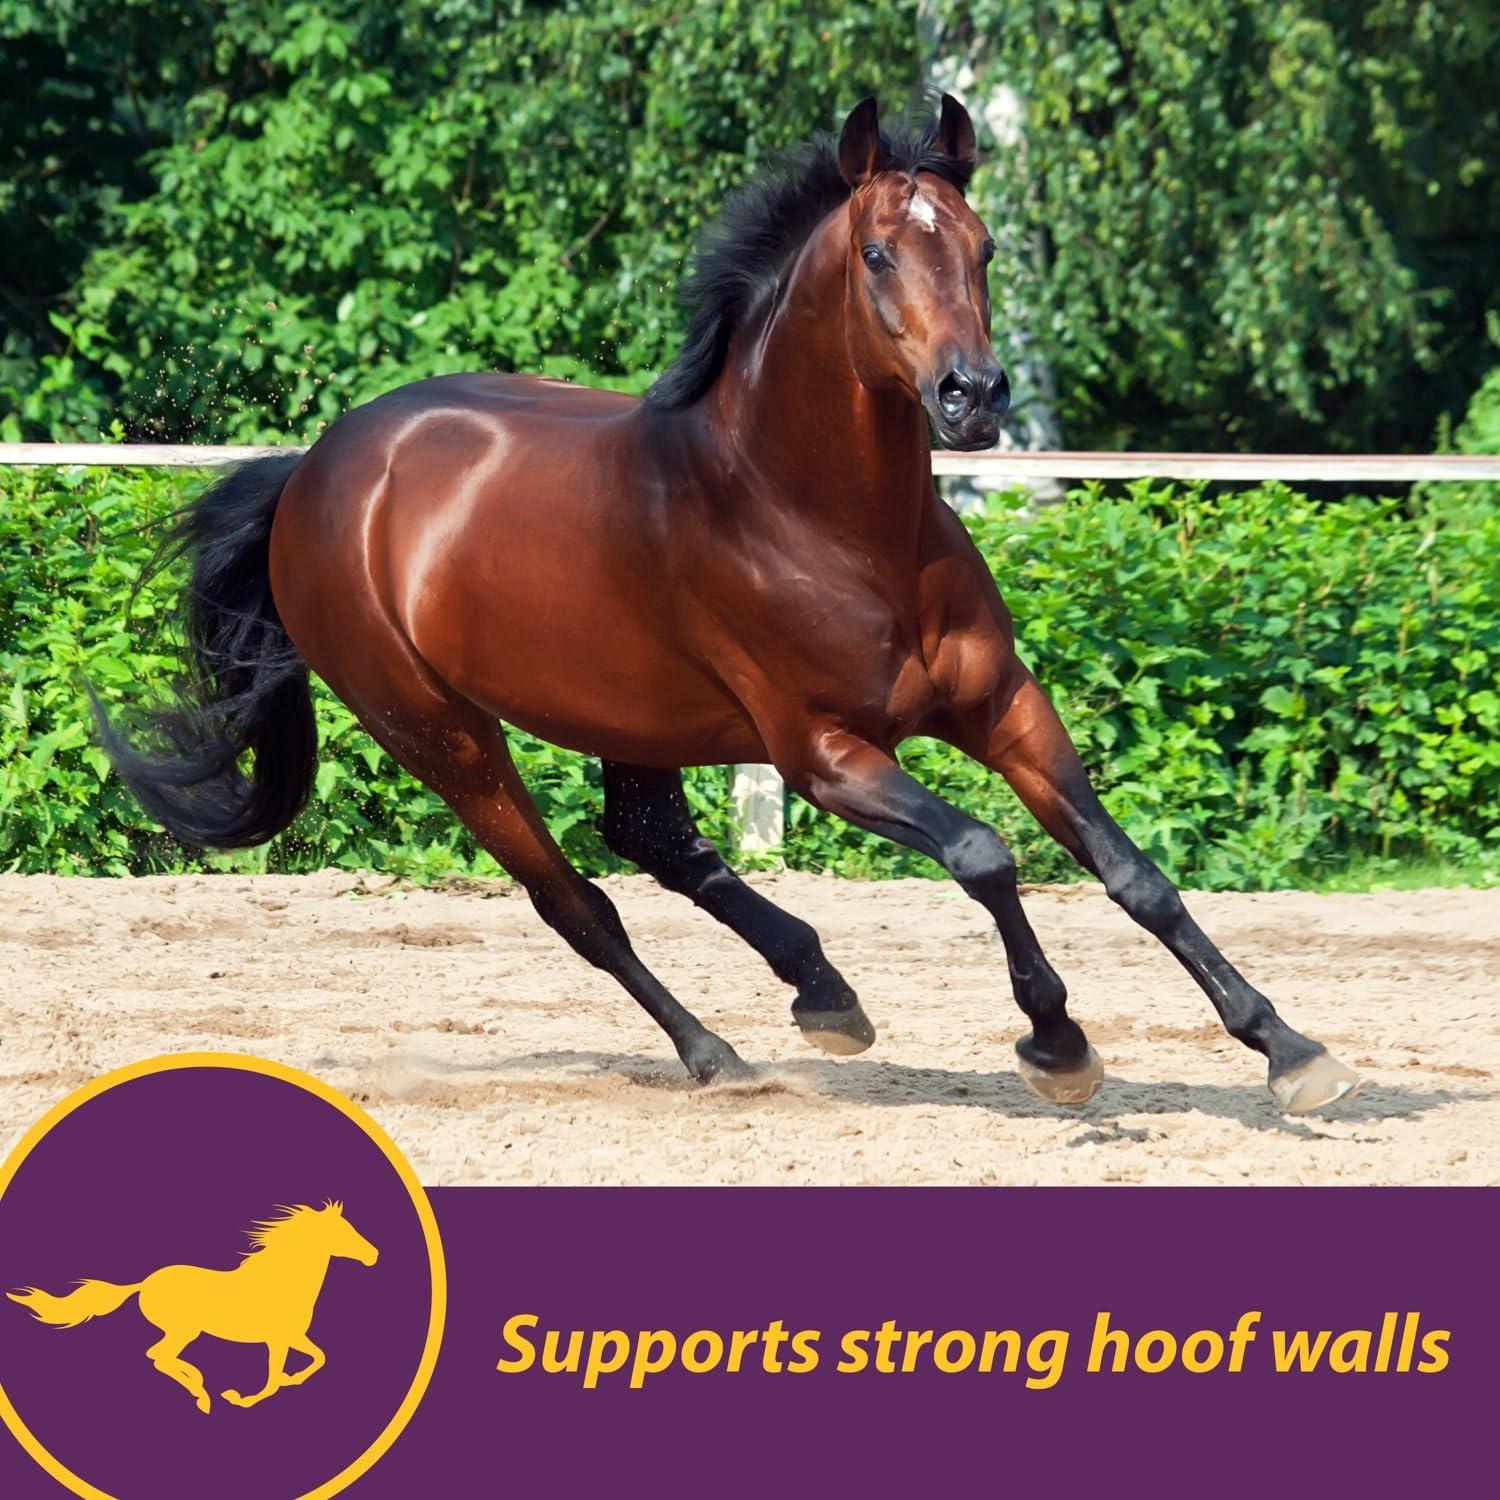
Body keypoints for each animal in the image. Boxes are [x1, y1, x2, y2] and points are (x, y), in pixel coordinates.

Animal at [7, 1202, 377, 1413]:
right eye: (343, 1232)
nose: (373, 1255)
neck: (282, 1282)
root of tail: (144, 1283)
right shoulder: (276, 1340)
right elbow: (272, 1379)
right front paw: (241, 1398)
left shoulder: (294, 1337)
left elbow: (318, 1359)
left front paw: (290, 1380)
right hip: (183, 1330)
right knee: (158, 1356)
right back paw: (202, 1392)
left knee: (158, 1357)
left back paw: (200, 1388)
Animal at [97, 94, 1359, 1116]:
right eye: (878, 253)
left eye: (986, 248)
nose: (973, 397)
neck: (821, 519)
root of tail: (319, 469)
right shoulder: (824, 755)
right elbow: (984, 854)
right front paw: (1057, 1045)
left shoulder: (1003, 706)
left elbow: (1131, 872)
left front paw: (1290, 1049)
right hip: (438, 734)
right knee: (577, 901)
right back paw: (716, 1054)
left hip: (625, 714)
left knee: (652, 840)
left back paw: (823, 990)